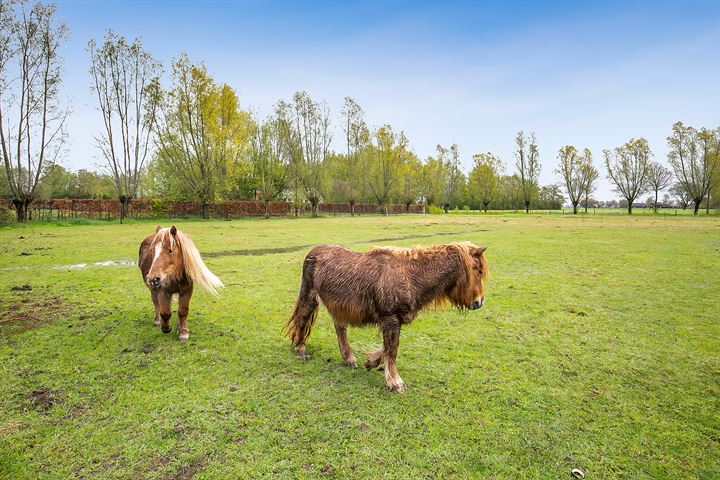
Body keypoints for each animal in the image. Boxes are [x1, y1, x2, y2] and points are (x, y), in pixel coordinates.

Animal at [286, 242, 490, 392]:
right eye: (478, 271)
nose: (479, 302)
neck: (410, 276)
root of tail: (314, 251)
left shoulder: (392, 321)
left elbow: (386, 348)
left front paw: (371, 362)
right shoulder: (390, 318)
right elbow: (392, 350)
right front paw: (395, 382)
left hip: (339, 307)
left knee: (340, 328)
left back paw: (349, 358)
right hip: (309, 297)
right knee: (302, 319)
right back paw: (300, 347)